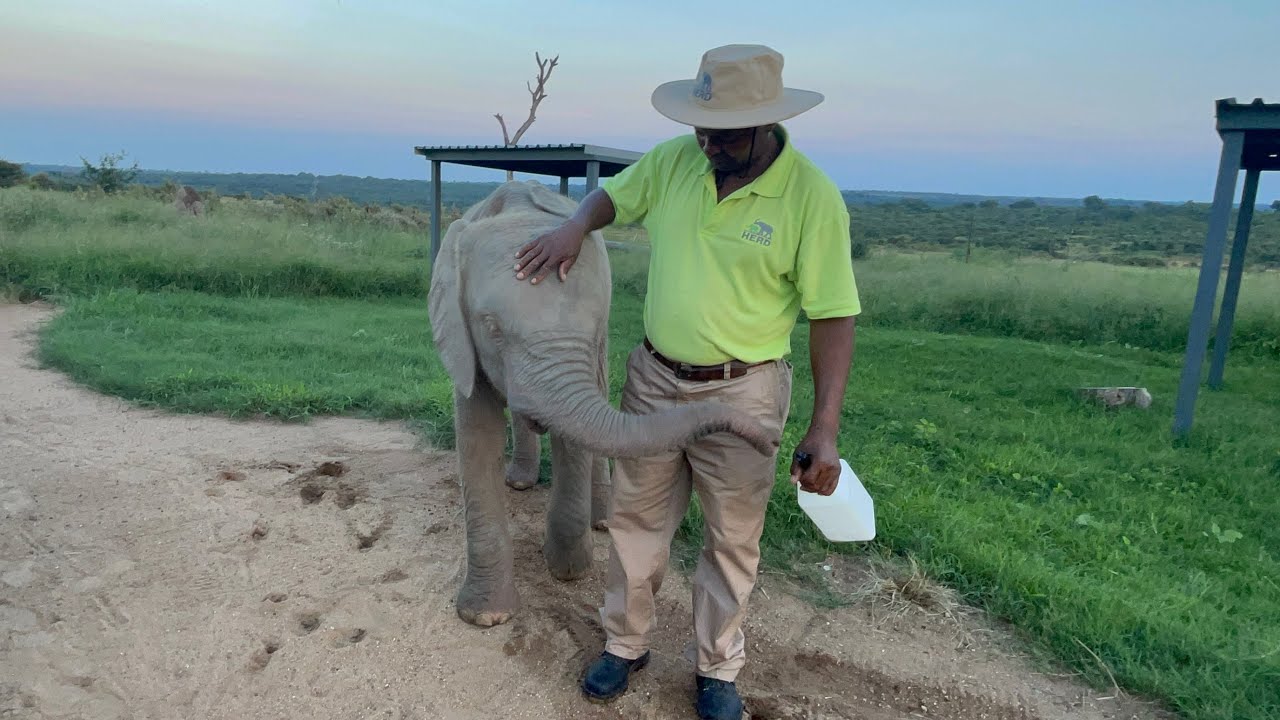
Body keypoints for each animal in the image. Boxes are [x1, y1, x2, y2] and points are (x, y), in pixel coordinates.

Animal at [427, 179, 777, 628]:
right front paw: (485, 617)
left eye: (592, 325)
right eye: (491, 328)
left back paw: (604, 520)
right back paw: (520, 482)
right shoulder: (461, 339)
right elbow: (475, 433)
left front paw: (569, 572)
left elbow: (573, 441)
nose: (772, 443)